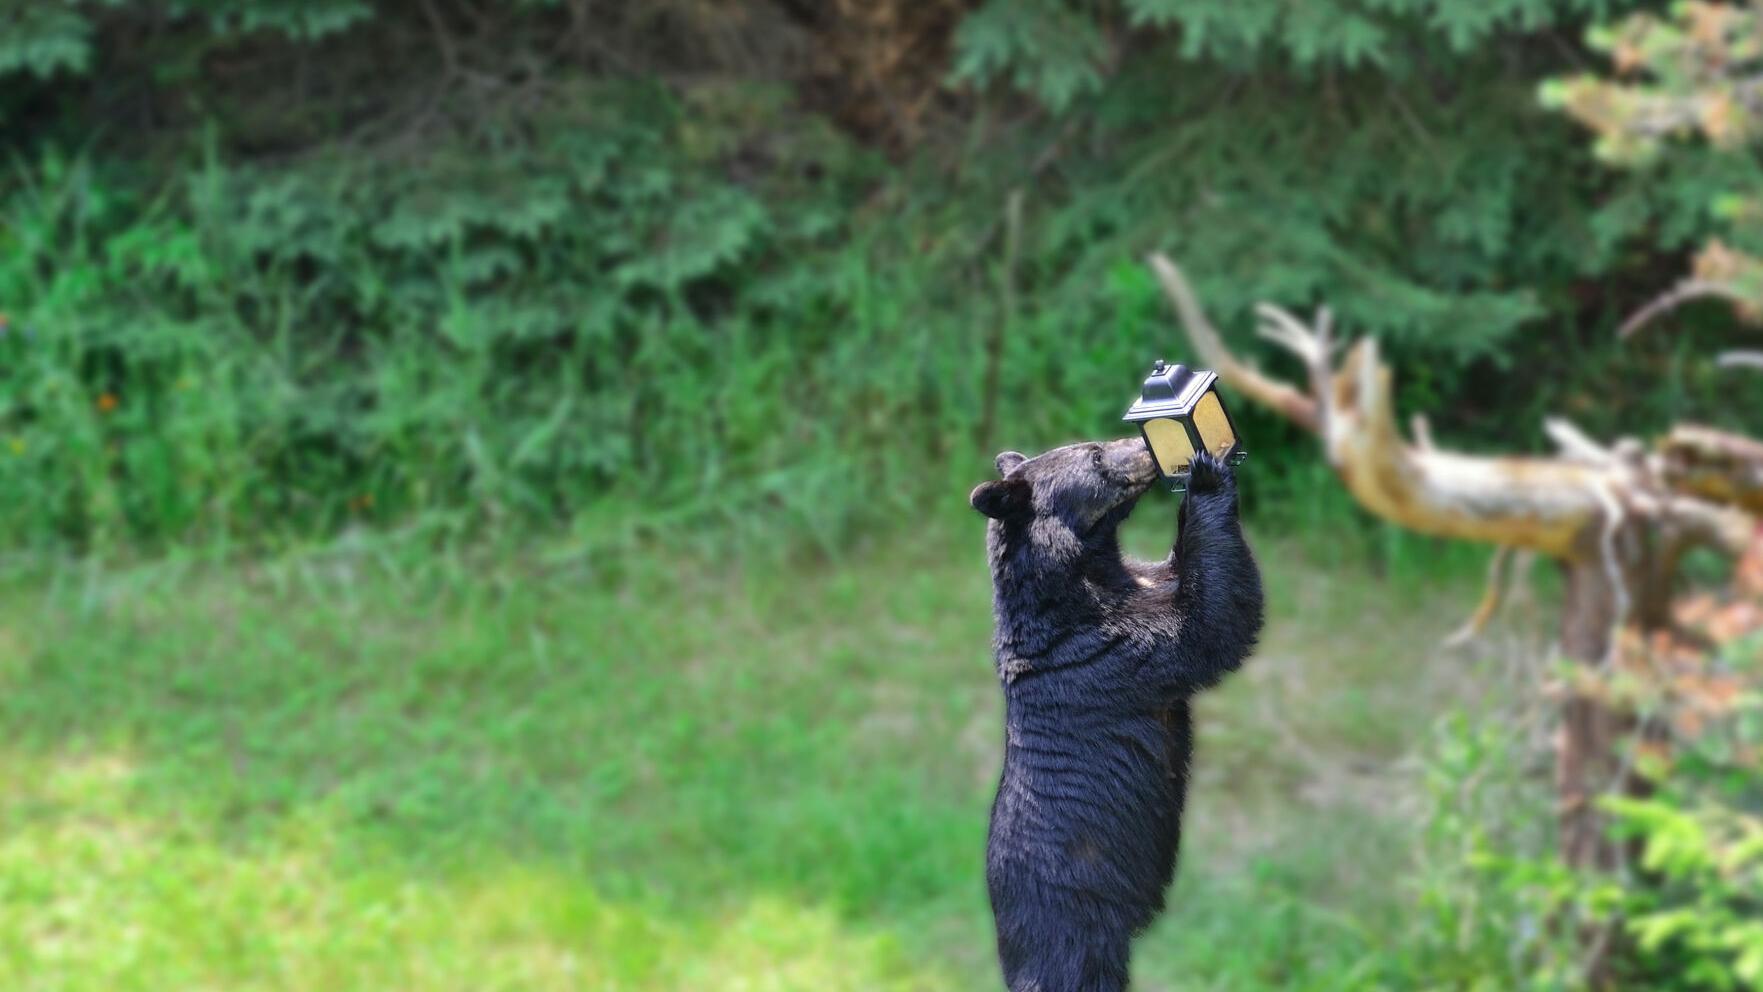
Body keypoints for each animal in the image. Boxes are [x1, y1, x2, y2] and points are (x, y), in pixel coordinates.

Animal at [969, 437, 1264, 992]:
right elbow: (1207, 627)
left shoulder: (1138, 584)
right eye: (1095, 456)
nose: (1142, 447)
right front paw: (1205, 476)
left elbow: (1181, 578)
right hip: (1070, 925)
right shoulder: (1112, 647)